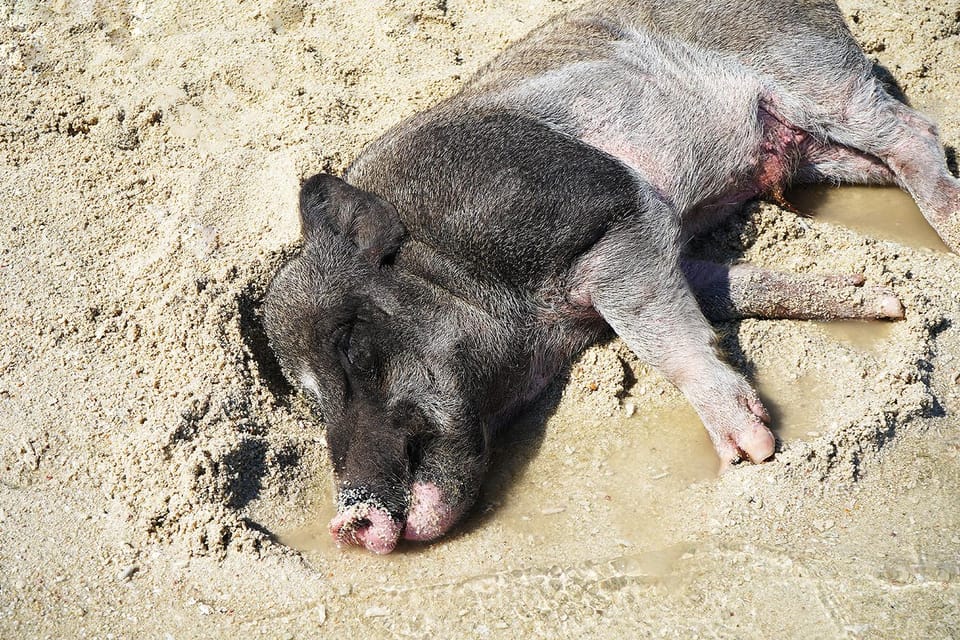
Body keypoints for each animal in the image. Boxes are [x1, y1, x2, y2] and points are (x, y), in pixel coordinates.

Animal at [262, 0, 960, 552]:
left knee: (914, 130)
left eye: (353, 344)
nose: (346, 522)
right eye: (311, 399)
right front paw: (881, 300)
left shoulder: (614, 211)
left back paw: (950, 227)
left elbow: (655, 332)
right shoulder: (661, 250)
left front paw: (752, 453)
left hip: (816, 73)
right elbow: (728, 289)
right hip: (818, 152)